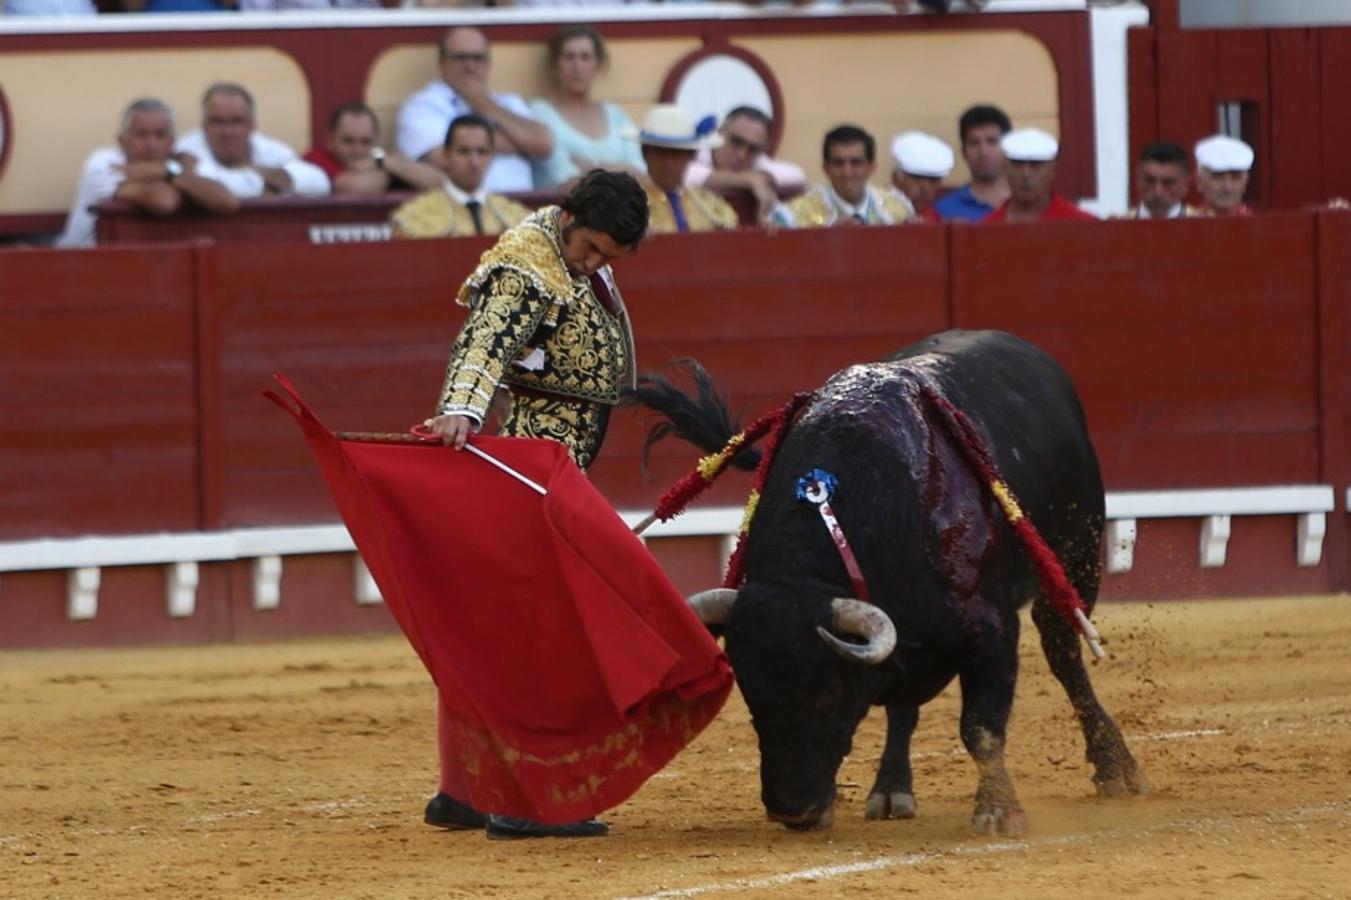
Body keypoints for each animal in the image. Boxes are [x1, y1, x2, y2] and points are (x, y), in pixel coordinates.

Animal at [632, 329, 1151, 832]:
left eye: (829, 692)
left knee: (1063, 653)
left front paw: (999, 811)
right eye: (750, 691)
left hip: (1079, 553)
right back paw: (891, 789)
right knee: (906, 707)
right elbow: (905, 707)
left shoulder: (992, 629)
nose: (790, 811)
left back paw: (1115, 767)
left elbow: (981, 727)